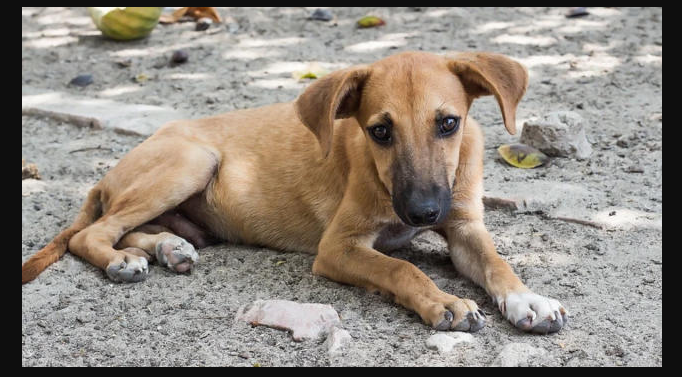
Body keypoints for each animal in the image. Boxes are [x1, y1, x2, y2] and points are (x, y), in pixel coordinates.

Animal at [21, 51, 564, 334]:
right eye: (380, 132)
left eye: (449, 123)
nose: (423, 213)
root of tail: (107, 173)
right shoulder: (338, 248)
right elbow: (400, 268)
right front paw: (443, 301)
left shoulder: (466, 226)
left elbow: (497, 264)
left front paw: (529, 300)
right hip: (191, 161)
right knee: (91, 234)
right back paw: (122, 260)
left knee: (133, 229)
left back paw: (168, 248)